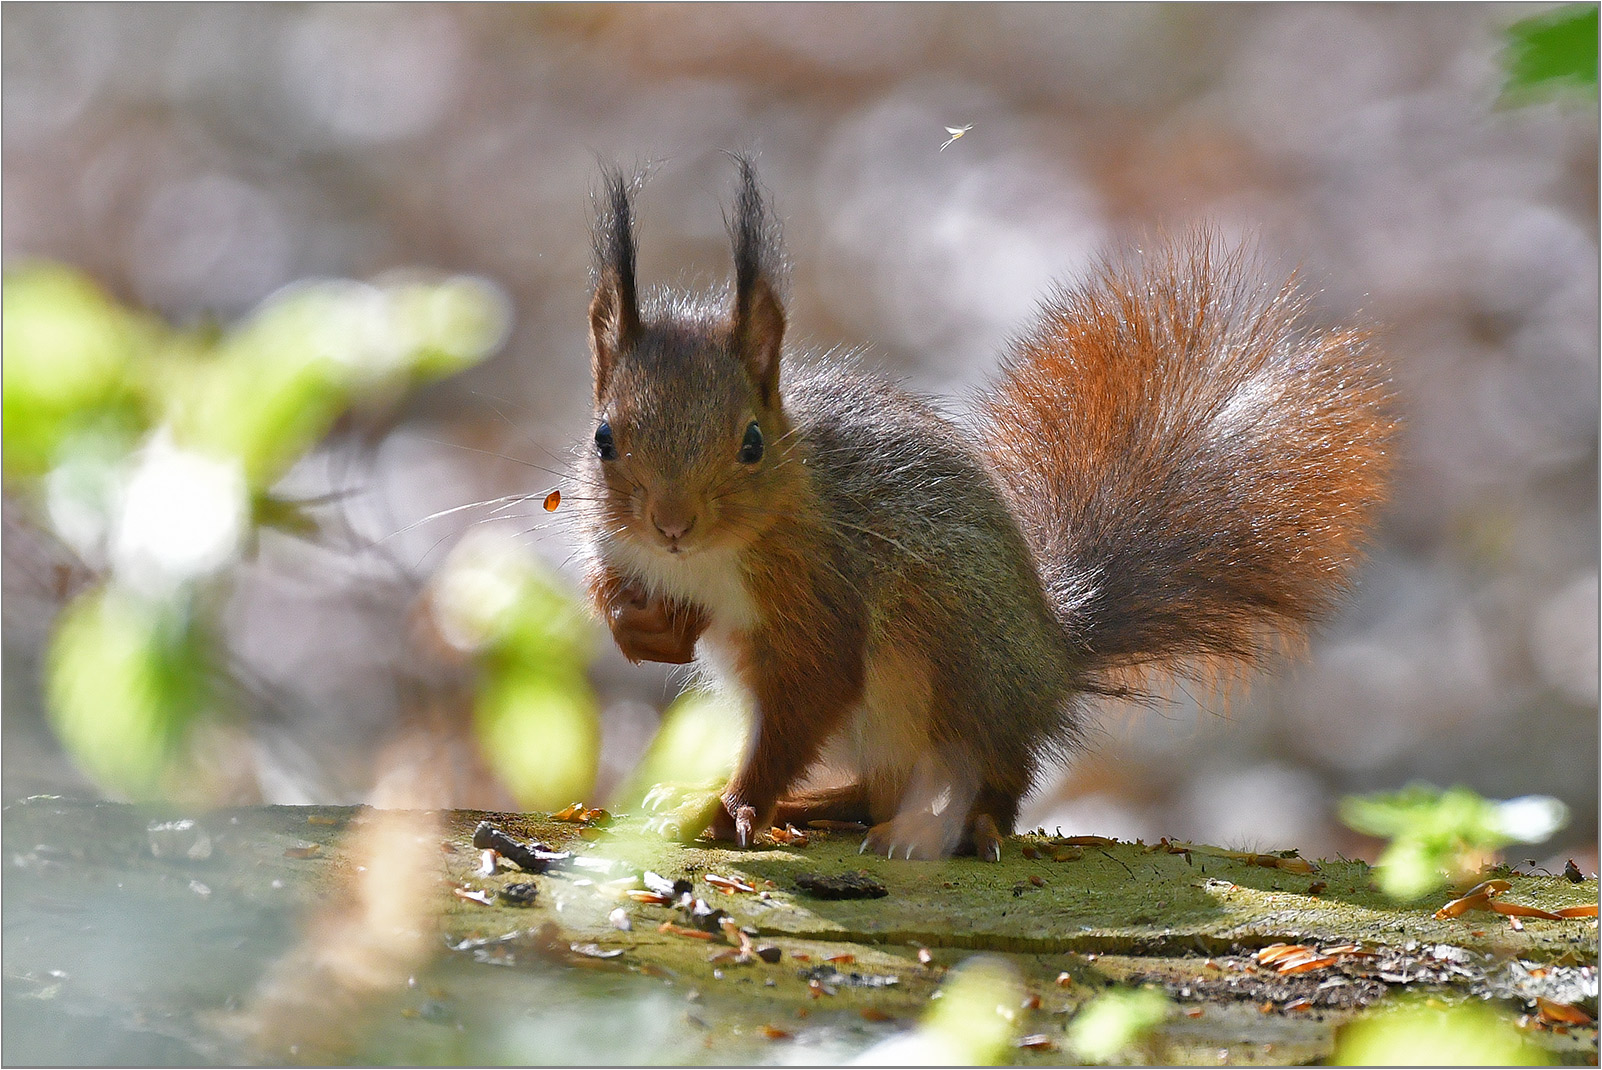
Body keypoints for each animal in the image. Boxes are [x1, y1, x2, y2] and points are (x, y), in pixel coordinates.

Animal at [576, 156, 1390, 858]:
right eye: (603, 437)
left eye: (751, 443)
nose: (671, 524)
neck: (710, 559)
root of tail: (1051, 660)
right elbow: (614, 590)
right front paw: (638, 628)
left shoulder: (822, 588)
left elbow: (812, 692)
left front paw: (733, 807)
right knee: (878, 790)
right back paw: (818, 806)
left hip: (947, 664)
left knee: (997, 778)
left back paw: (960, 825)